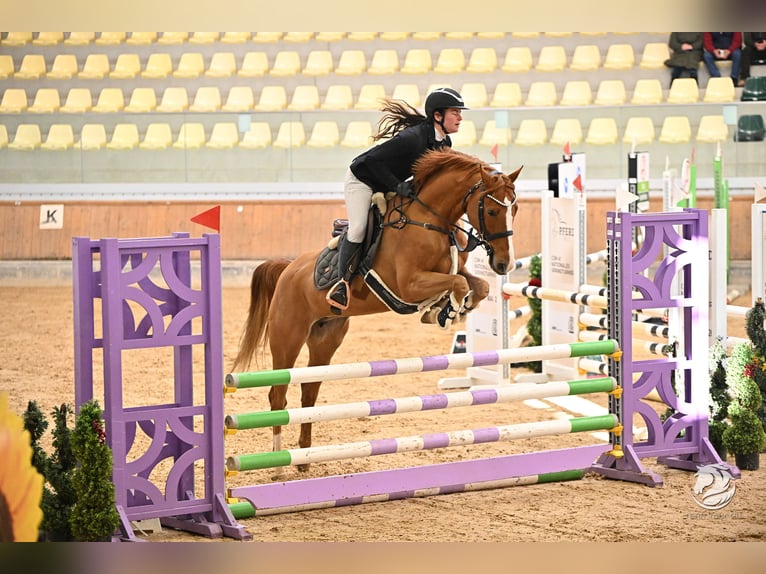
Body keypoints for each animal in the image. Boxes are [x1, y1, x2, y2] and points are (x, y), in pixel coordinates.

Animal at [232, 149, 522, 470]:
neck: (430, 220)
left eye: (515, 209)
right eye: (492, 211)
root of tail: (287, 269)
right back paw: (279, 461)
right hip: (287, 339)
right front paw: (446, 309)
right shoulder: (409, 284)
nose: (504, 265)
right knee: (278, 394)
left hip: (325, 339)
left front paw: (446, 309)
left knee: (309, 391)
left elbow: (476, 285)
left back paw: (304, 458)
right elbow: (457, 283)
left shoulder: (450, 271)